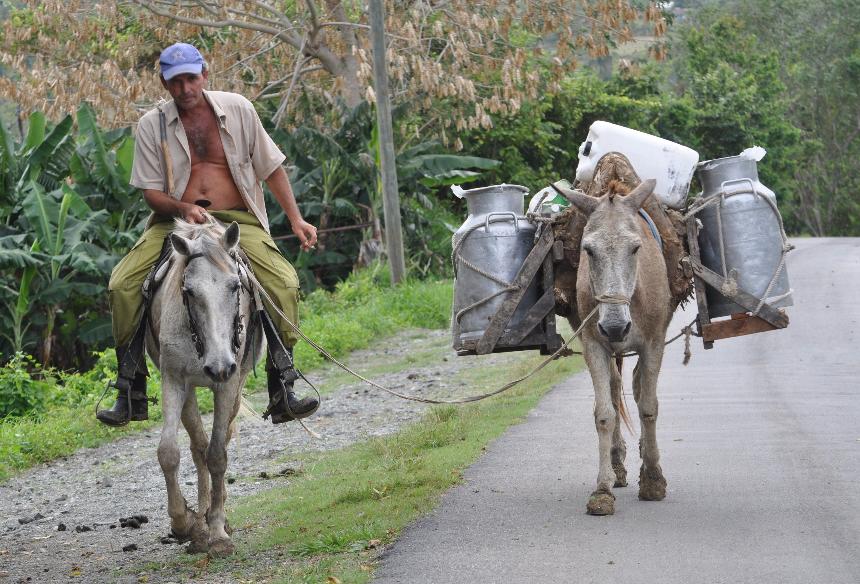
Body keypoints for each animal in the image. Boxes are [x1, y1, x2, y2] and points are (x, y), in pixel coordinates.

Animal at [146, 218, 264, 556]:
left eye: (235, 286)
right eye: (189, 291)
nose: (219, 366)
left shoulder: (228, 384)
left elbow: (217, 455)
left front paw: (218, 533)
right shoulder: (174, 379)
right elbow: (169, 452)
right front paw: (184, 523)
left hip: (235, 383)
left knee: (219, 442)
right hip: (190, 391)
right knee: (197, 447)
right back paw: (199, 523)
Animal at [555, 179, 672, 516]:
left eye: (635, 248)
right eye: (588, 250)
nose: (616, 327)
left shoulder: (654, 343)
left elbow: (648, 406)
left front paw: (653, 480)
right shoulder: (594, 344)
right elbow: (604, 412)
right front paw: (602, 489)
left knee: (637, 388)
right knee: (616, 385)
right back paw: (618, 464)